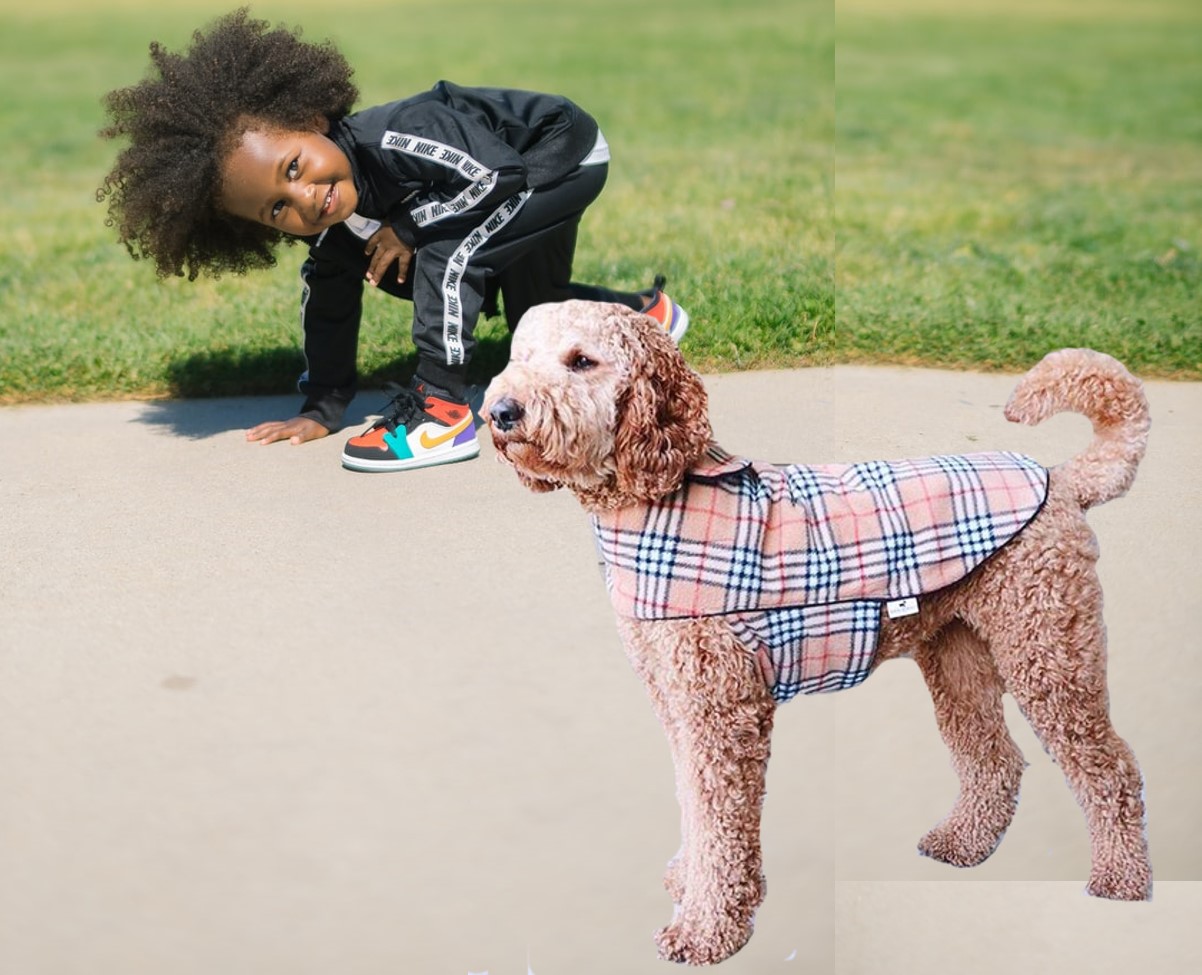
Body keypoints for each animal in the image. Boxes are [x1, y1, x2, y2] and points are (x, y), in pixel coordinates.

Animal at [480, 301, 1153, 966]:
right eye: (522, 357)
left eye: (581, 361)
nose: (500, 412)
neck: (661, 494)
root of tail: (1062, 480)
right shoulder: (678, 703)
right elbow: (691, 803)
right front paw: (690, 879)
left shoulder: (722, 712)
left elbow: (719, 820)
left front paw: (706, 927)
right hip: (960, 658)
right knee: (994, 759)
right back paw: (964, 843)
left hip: (1050, 652)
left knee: (1111, 769)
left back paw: (1122, 880)